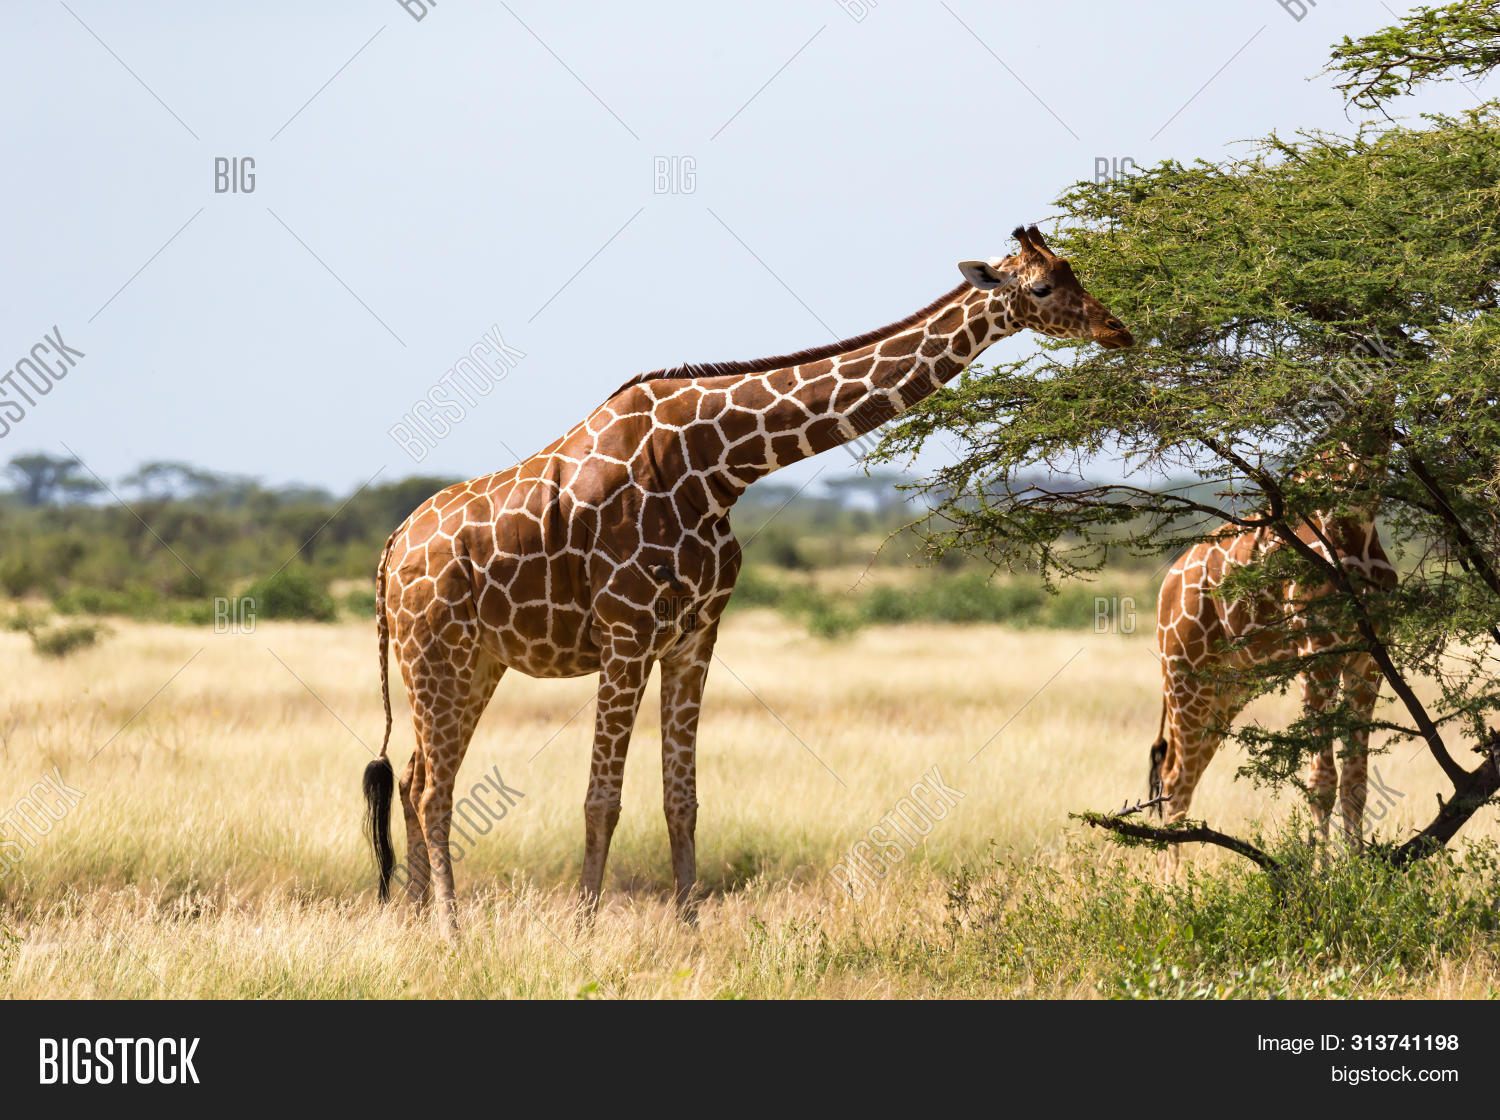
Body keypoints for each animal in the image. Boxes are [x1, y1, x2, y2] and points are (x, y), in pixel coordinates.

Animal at [361, 225, 1134, 936]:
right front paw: (583, 932)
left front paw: (689, 934)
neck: (719, 464)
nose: (1117, 328)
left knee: (416, 777)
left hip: (476, 662)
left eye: (1075, 271)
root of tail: (391, 549)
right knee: (432, 791)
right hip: (436, 654)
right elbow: (601, 799)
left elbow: (682, 799)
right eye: (1042, 287)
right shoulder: (625, 632)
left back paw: (415, 922)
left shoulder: (695, 633)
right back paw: (451, 931)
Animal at [1148, 457, 1397, 852]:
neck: (1355, 526)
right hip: (1183, 675)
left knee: (1183, 778)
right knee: (1173, 782)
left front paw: (1359, 865)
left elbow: (1355, 783)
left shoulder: (1368, 659)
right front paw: (1324, 869)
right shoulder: (1318, 652)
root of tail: (1167, 583)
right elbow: (1321, 784)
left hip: (1228, 691)